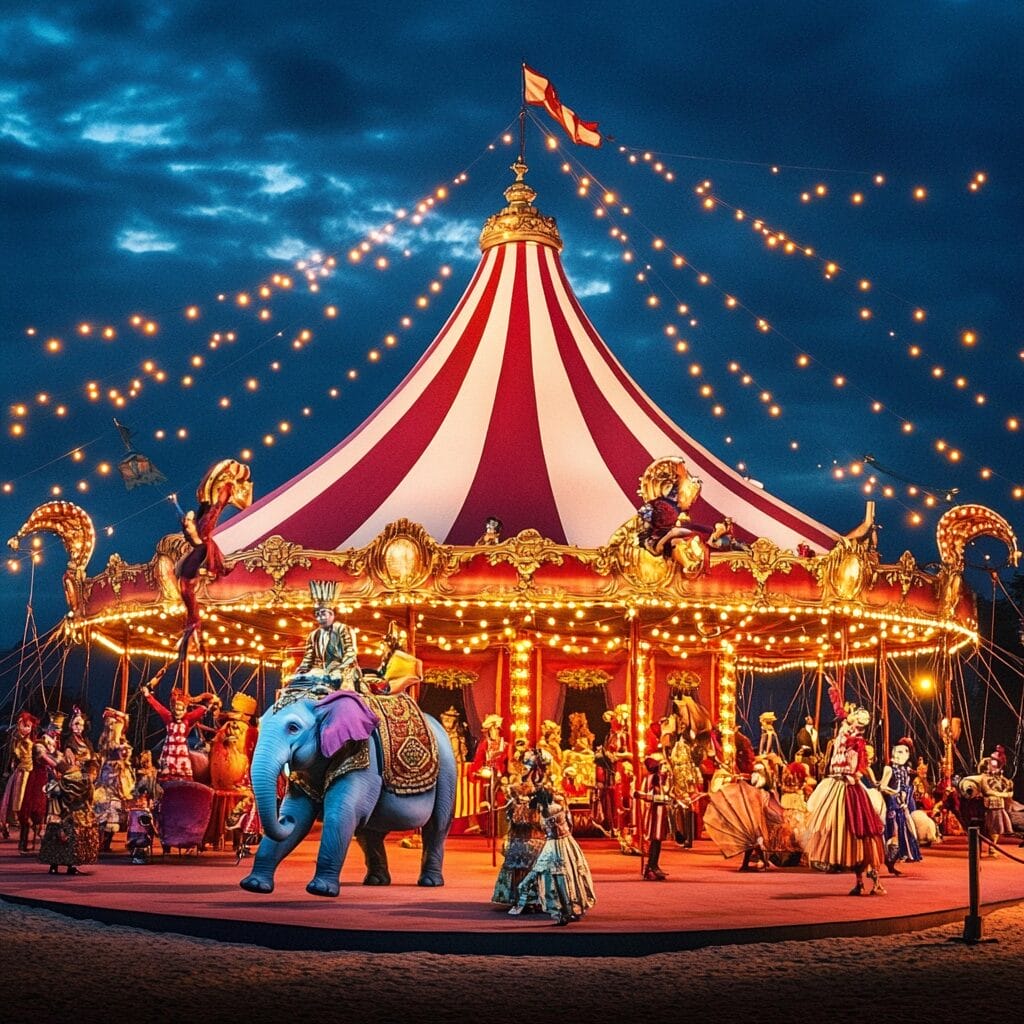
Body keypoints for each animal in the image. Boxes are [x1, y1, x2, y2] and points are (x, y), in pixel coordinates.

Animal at [240, 688, 456, 897]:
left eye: (293, 728)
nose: (284, 820)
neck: (323, 703)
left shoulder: (362, 757)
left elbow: (341, 815)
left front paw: (320, 890)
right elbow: (299, 815)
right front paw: (254, 886)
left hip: (447, 770)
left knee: (437, 825)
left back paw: (430, 882)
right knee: (369, 832)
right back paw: (376, 881)